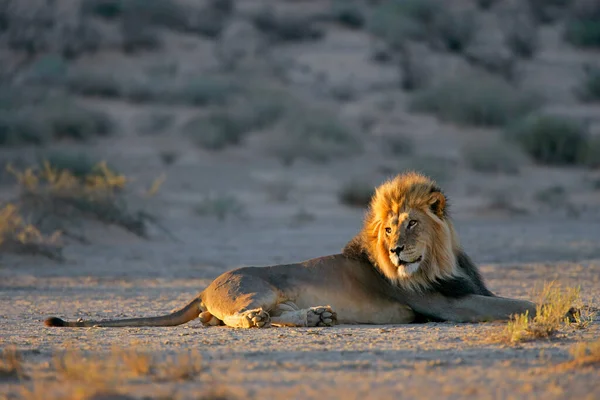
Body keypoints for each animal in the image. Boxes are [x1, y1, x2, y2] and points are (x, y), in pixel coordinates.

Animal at [44, 170, 536, 330]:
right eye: (388, 228)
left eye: (412, 223)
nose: (397, 251)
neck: (440, 260)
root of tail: (205, 286)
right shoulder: (444, 305)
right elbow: (519, 302)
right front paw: (553, 308)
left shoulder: (466, 290)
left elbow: (507, 298)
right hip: (256, 287)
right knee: (237, 319)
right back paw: (262, 320)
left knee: (233, 318)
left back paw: (318, 315)